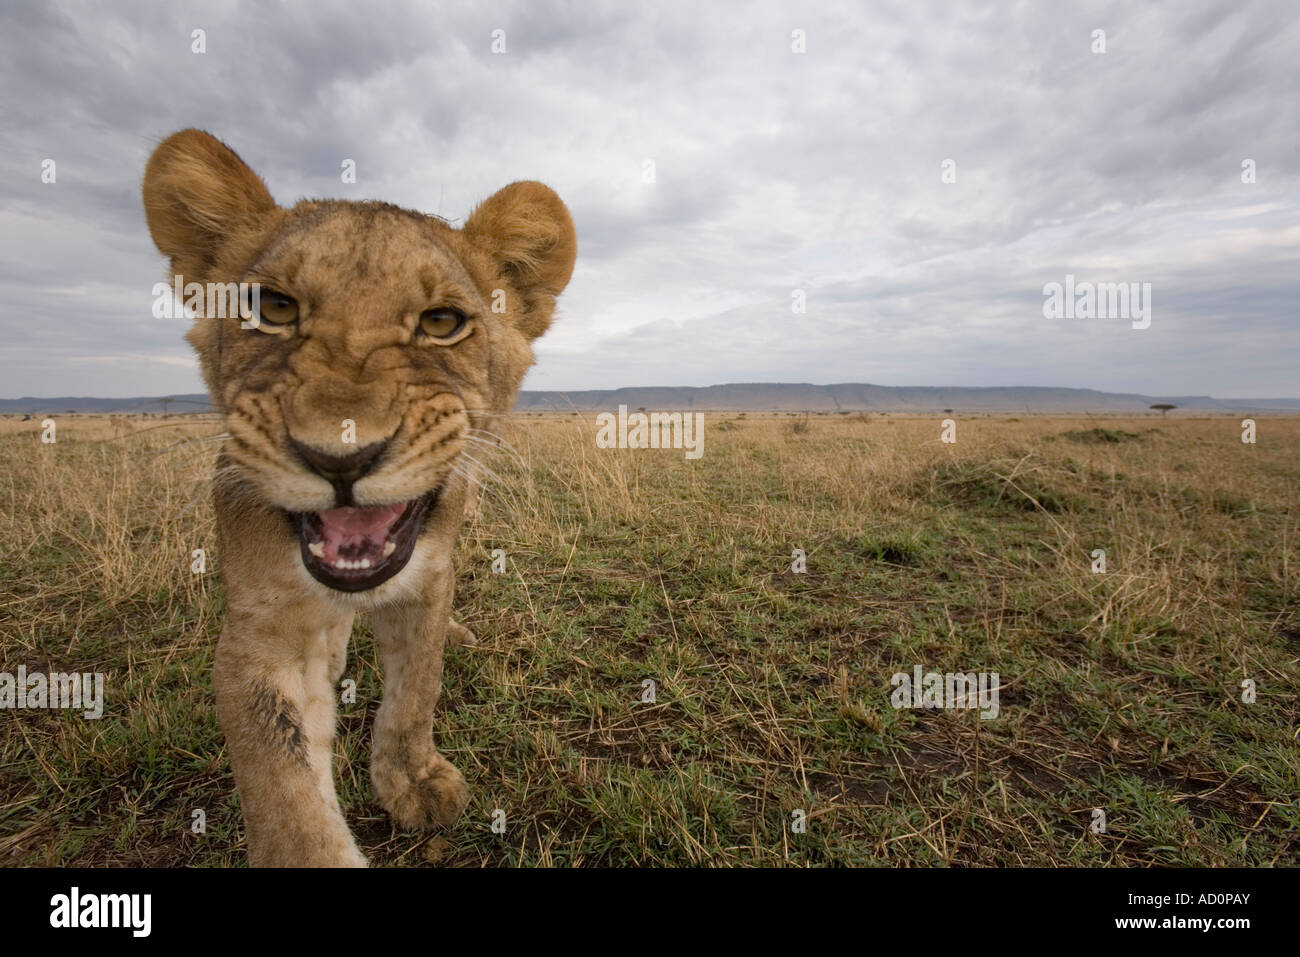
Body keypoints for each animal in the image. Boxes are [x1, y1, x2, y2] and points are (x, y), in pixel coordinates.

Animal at [141, 129, 576, 866]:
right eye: (273, 308)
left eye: (443, 321)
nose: (338, 456)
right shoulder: (259, 634)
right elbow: (284, 791)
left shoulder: (427, 577)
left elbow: (416, 688)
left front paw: (414, 781)